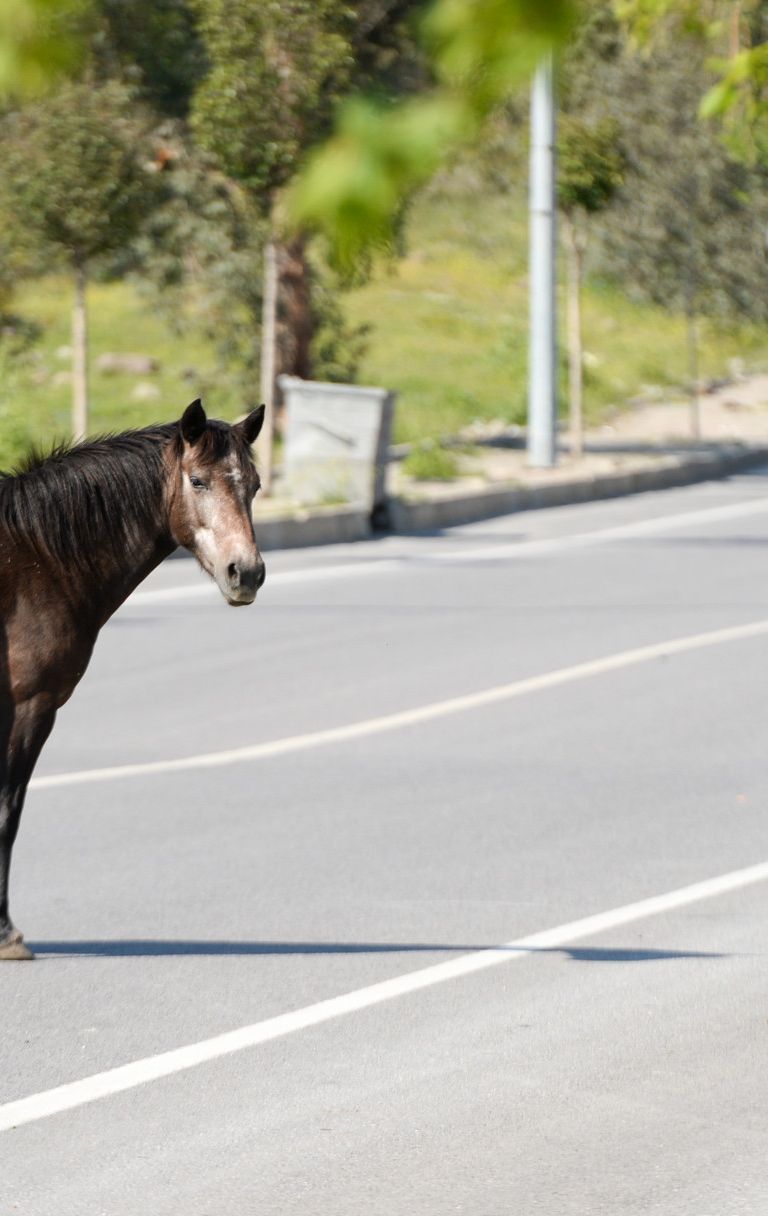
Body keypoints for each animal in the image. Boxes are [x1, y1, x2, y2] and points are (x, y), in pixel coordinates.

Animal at [0, 398, 265, 960]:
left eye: (254, 485)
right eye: (198, 481)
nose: (247, 573)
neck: (34, 558)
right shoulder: (30, 708)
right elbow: (8, 812)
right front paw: (6, 933)